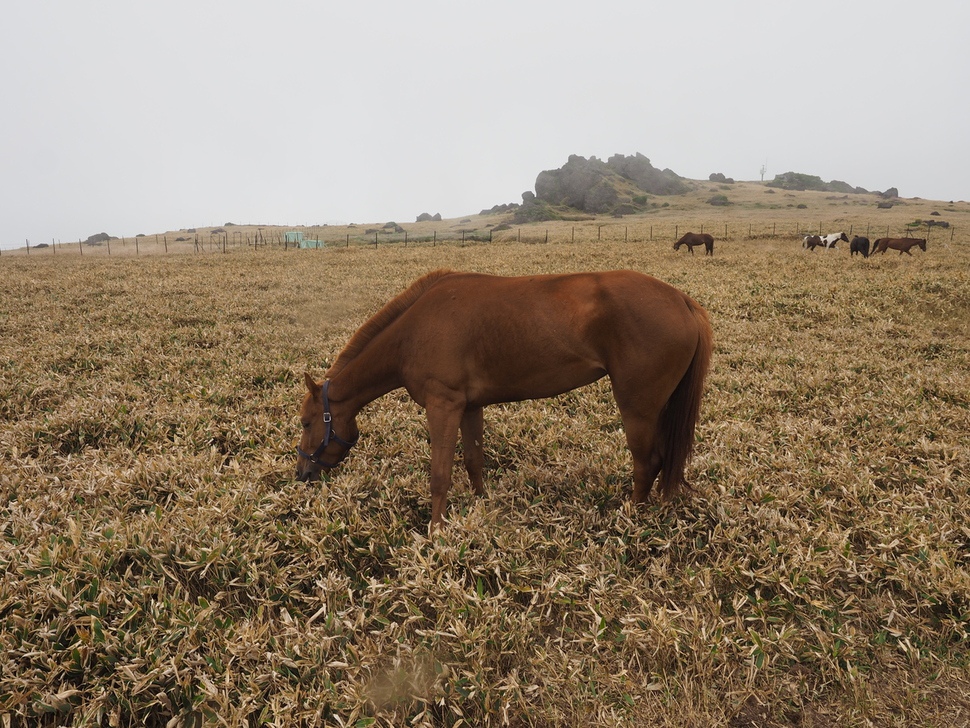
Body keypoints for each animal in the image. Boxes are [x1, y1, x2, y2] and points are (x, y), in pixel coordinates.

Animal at [294, 268, 712, 528]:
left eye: (306, 422)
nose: (302, 474)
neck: (413, 331)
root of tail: (681, 300)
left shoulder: (443, 406)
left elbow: (440, 475)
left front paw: (435, 531)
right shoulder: (469, 406)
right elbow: (474, 461)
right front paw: (480, 504)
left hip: (638, 407)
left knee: (647, 462)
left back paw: (632, 516)